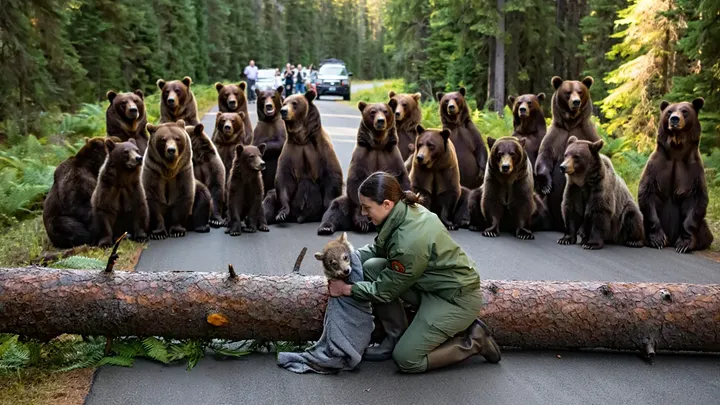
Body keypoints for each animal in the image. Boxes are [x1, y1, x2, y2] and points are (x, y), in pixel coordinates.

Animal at [263, 90, 344, 224]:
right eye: (284, 103)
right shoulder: (291, 151)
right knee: (270, 198)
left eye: (294, 103)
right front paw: (282, 213)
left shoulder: (321, 149)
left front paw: (328, 208)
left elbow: (332, 175)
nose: (283, 111)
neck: (302, 138)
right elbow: (283, 178)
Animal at [317, 101, 410, 235]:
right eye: (373, 111)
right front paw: (362, 222)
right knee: (336, 208)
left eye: (385, 111)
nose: (380, 121)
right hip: (347, 206)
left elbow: (401, 177)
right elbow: (356, 180)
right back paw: (326, 227)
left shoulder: (392, 155)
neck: (378, 144)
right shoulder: (362, 155)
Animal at [534, 76, 599, 232]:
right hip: (545, 205)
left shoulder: (587, 133)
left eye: (580, 91)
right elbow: (544, 156)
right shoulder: (556, 134)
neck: (571, 123)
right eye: (568, 92)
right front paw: (547, 185)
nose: (576, 102)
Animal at [638, 98, 714, 253]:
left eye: (684, 111)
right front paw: (658, 239)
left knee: (705, 232)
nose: (674, 119)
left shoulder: (692, 169)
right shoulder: (656, 165)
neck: (676, 149)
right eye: (669, 111)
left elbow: (696, 198)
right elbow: (647, 192)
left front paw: (684, 244)